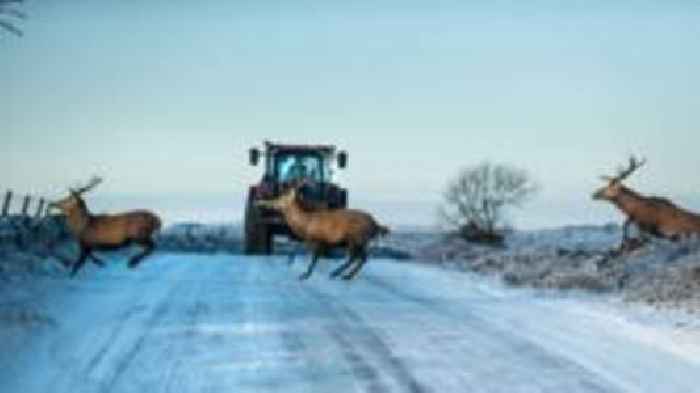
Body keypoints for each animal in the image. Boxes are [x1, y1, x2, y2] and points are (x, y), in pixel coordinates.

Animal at [256, 186, 388, 278]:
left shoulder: (317, 239)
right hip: (360, 240)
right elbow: (300, 248)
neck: (304, 224)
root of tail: (376, 224)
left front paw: (305, 275)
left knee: (355, 257)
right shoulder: (314, 240)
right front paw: (291, 262)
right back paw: (345, 275)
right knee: (362, 257)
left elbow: (314, 258)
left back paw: (338, 274)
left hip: (355, 237)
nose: (266, 204)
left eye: (281, 198)